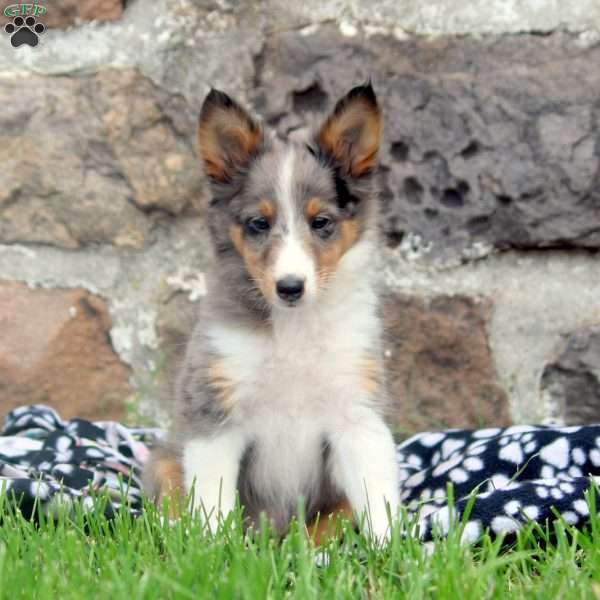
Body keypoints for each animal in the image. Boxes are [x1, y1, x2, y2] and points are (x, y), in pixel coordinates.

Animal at [143, 83, 400, 544]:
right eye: (258, 224)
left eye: (321, 222)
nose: (290, 287)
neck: (293, 330)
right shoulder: (215, 414)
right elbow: (212, 503)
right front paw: (214, 551)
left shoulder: (357, 413)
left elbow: (377, 497)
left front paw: (393, 552)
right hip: (165, 460)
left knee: (324, 528)